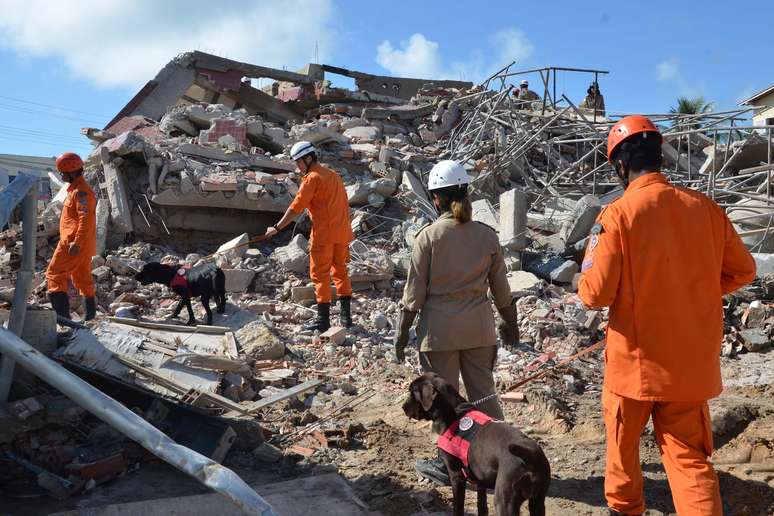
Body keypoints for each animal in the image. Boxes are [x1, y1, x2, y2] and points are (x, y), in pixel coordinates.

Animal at [406, 372, 552, 516]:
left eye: (412, 393)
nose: (403, 407)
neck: (455, 412)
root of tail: (531, 455)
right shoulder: (480, 478)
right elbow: (481, 505)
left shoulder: (456, 476)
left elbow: (458, 507)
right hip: (538, 501)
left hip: (504, 500)